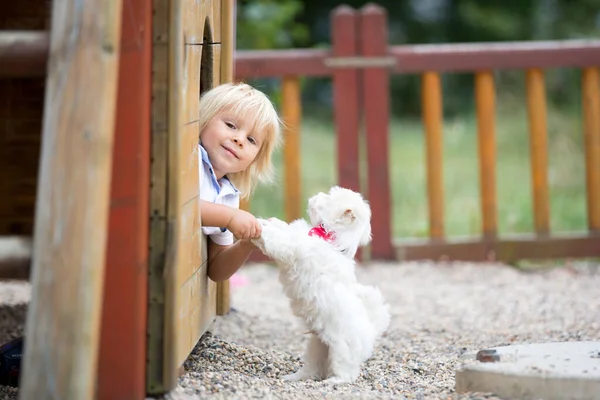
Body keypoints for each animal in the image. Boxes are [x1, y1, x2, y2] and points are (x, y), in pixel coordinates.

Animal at [251, 186, 392, 382]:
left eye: (327, 198)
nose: (316, 195)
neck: (330, 239)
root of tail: (370, 332)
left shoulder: (291, 247)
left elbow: (278, 240)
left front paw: (259, 226)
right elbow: (285, 230)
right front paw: (270, 222)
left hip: (340, 352)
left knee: (346, 373)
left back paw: (333, 382)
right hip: (317, 347)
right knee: (313, 369)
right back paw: (294, 377)